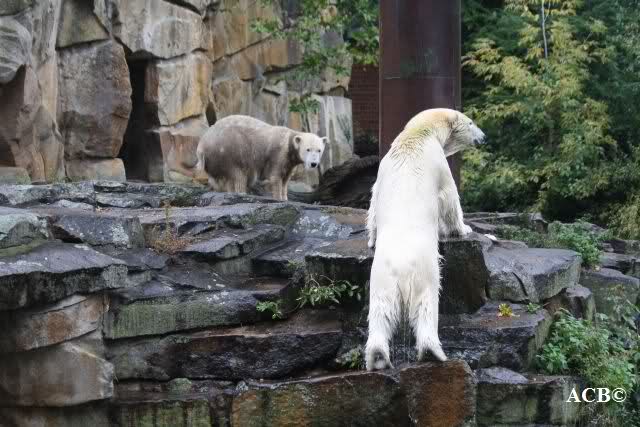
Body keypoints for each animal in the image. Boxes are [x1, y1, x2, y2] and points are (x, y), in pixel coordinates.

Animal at [196, 115, 328, 201]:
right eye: (308, 149)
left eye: (319, 150)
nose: (313, 164)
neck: (289, 141)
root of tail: (201, 145)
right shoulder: (278, 154)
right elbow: (276, 177)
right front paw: (278, 198)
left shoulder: (289, 161)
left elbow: (286, 179)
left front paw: (285, 198)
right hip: (229, 149)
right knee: (238, 173)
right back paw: (241, 192)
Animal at [365, 108, 486, 371]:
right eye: (471, 122)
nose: (484, 137)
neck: (416, 135)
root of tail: (401, 269)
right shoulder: (439, 165)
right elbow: (450, 197)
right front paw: (464, 228)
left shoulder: (382, 169)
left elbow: (374, 201)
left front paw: (370, 239)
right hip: (424, 275)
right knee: (427, 307)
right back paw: (433, 352)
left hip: (381, 279)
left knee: (380, 312)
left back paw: (377, 356)